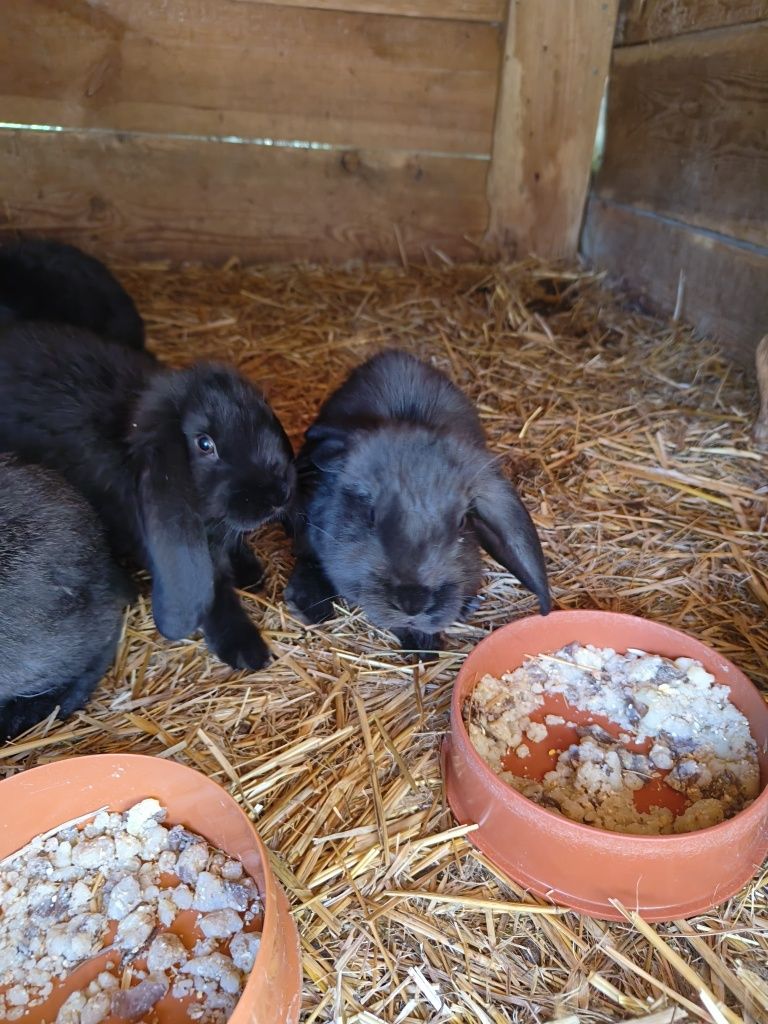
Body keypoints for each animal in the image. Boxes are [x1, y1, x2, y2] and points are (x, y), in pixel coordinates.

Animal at [0, 321, 294, 671]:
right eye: (205, 444)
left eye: (265, 414)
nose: (278, 494)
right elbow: (214, 593)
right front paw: (247, 650)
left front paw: (250, 572)